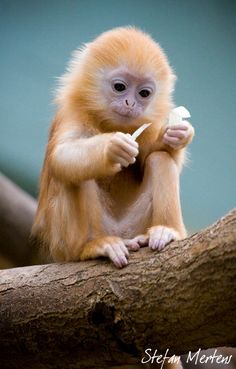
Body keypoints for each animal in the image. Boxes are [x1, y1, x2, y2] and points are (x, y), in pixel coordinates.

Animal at [31, 25, 194, 268]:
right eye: (120, 87)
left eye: (144, 93)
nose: (130, 103)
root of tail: (121, 233)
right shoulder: (72, 114)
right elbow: (61, 156)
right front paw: (112, 148)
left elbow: (156, 153)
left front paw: (177, 135)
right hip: (65, 244)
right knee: (73, 174)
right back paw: (94, 245)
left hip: (136, 224)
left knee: (160, 159)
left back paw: (166, 231)